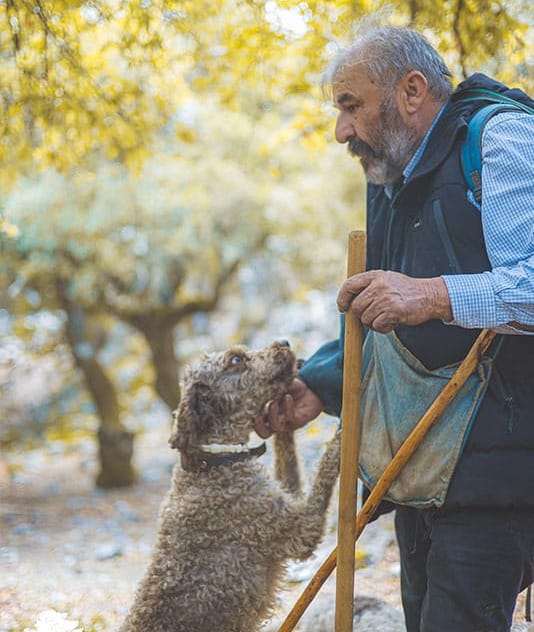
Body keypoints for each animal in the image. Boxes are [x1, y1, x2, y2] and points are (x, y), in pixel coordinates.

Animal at [121, 340, 342, 632]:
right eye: (236, 360)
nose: (284, 342)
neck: (217, 461)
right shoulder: (299, 529)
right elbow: (323, 472)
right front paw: (339, 440)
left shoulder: (285, 501)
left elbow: (287, 458)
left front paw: (284, 416)